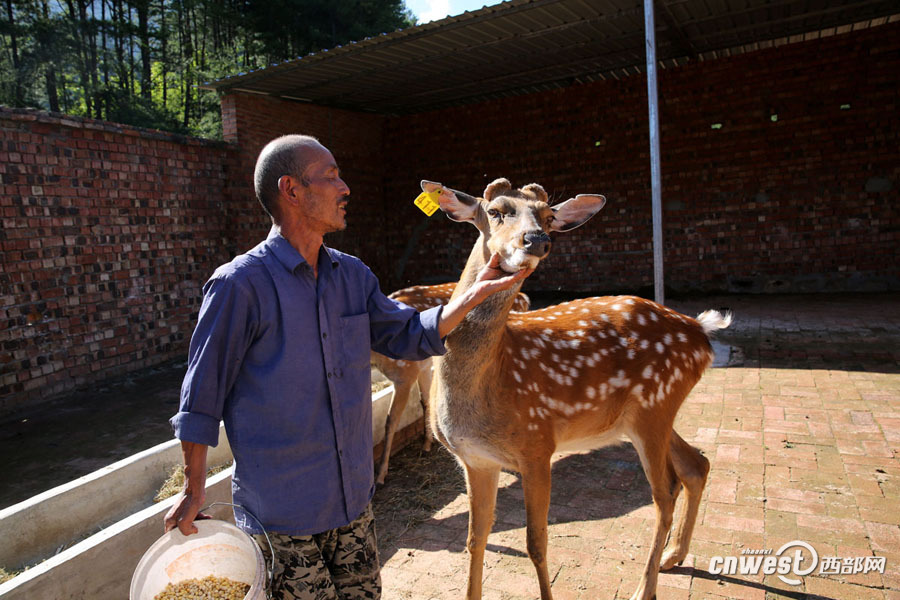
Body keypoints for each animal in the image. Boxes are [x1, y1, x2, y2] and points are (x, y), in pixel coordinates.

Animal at [370, 284, 532, 486]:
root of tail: (524, 299)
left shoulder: (405, 373)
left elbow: (390, 420)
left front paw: (380, 475)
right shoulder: (423, 366)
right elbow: (425, 402)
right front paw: (427, 444)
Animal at [424, 178, 732, 600]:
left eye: (547, 216)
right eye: (495, 211)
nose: (536, 240)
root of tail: (701, 331)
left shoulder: (537, 446)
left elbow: (536, 543)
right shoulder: (476, 460)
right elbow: (476, 538)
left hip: (655, 407)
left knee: (666, 492)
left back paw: (644, 587)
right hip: (647, 414)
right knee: (696, 465)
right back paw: (674, 556)